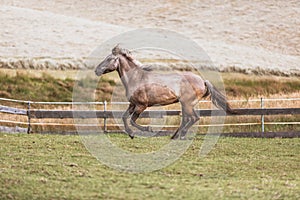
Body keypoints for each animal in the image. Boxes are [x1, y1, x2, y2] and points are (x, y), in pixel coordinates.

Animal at [94, 44, 234, 140]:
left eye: (109, 59)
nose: (96, 70)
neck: (136, 78)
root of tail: (203, 81)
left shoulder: (141, 105)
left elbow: (133, 120)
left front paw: (148, 129)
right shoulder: (132, 104)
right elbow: (124, 118)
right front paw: (131, 134)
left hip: (187, 104)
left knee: (193, 118)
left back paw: (180, 135)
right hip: (186, 105)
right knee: (189, 119)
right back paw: (175, 136)